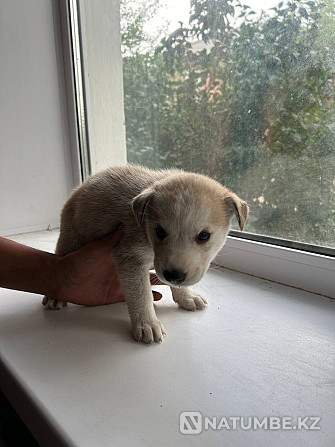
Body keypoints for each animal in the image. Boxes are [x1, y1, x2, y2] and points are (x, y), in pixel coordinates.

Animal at [42, 164, 249, 344]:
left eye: (204, 236)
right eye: (160, 231)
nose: (173, 275)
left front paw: (186, 297)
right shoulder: (130, 257)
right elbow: (141, 294)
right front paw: (147, 323)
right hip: (71, 236)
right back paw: (55, 297)